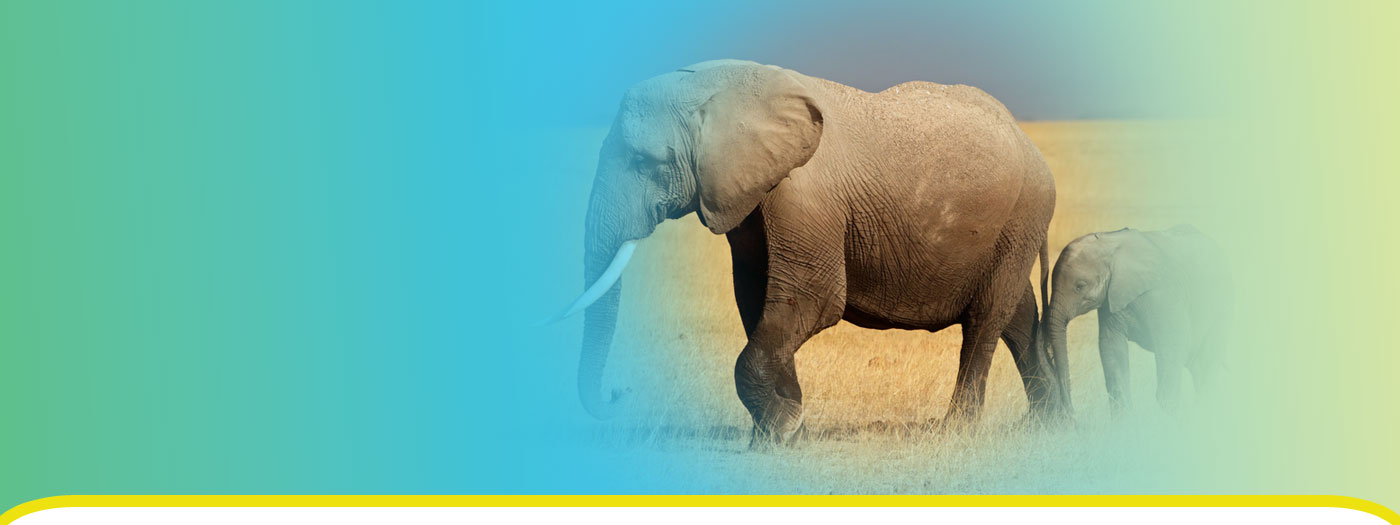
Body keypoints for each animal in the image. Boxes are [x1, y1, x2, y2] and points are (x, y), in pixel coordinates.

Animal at [547, 59, 1063, 445]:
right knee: (1018, 315)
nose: (619, 394)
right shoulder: (749, 198)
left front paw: (782, 429)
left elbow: (813, 300)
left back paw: (957, 431)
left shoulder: (802, 196)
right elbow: (757, 301)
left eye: (644, 162)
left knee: (985, 319)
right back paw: (1047, 425)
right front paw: (782, 428)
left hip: (1023, 213)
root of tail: (1031, 144)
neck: (721, 89)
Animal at [1042, 225, 1232, 416]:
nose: (1070, 412)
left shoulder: (1162, 295)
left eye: (1080, 286)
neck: (1111, 245)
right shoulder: (1110, 300)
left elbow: (1173, 343)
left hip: (1220, 309)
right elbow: (1110, 347)